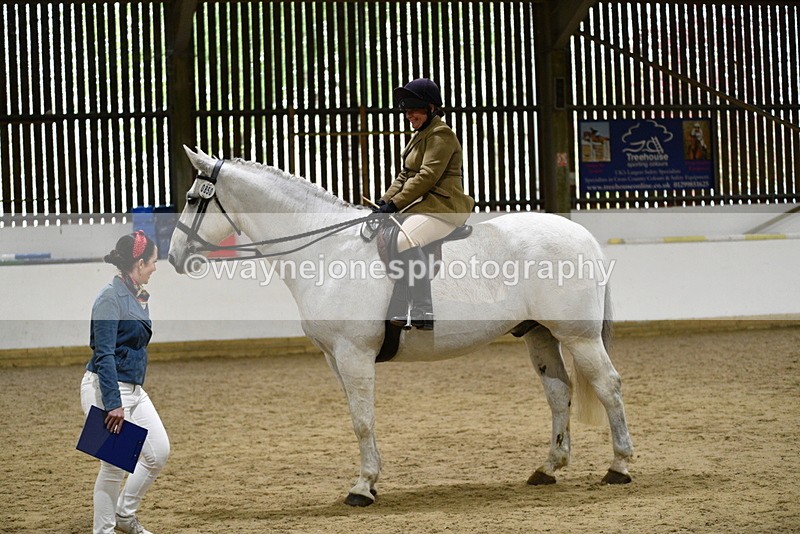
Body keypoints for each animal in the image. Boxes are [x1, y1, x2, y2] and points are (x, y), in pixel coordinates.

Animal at [168, 147, 634, 506]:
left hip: (578, 336)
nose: (174, 258)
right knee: (558, 392)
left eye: (192, 198)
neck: (327, 250)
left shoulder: (354, 354)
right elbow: (358, 417)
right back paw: (548, 468)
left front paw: (361, 488)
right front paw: (369, 481)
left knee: (608, 386)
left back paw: (619, 466)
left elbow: (362, 420)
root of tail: (581, 235)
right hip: (538, 334)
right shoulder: (335, 359)